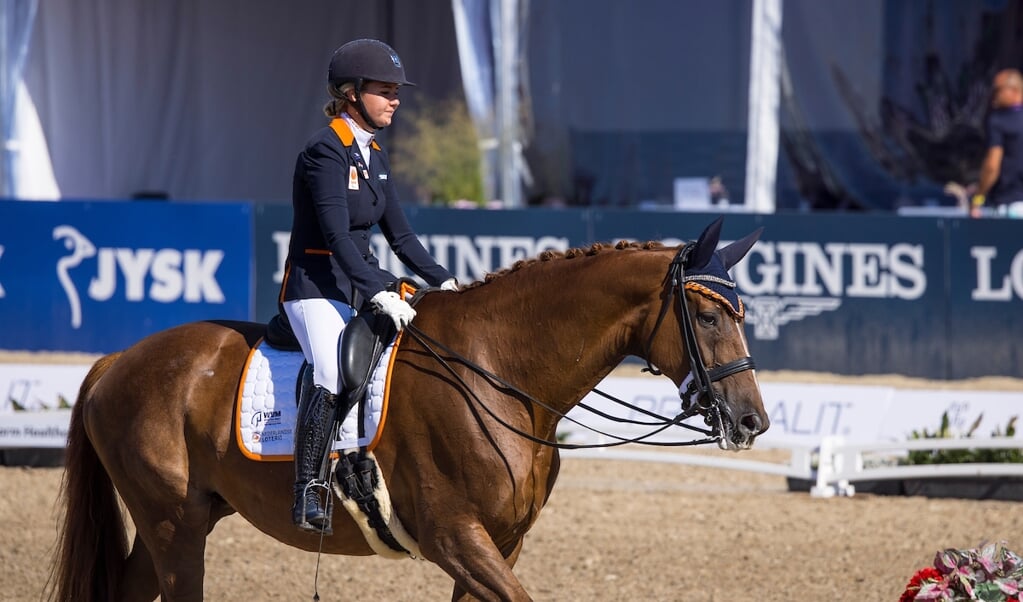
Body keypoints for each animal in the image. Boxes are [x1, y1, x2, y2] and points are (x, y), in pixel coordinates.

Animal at [48, 219, 769, 597]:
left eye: (741, 314)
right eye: (708, 317)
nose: (751, 422)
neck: (498, 371)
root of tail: (118, 360)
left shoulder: (498, 545)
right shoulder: (456, 538)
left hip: (180, 521)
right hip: (174, 524)